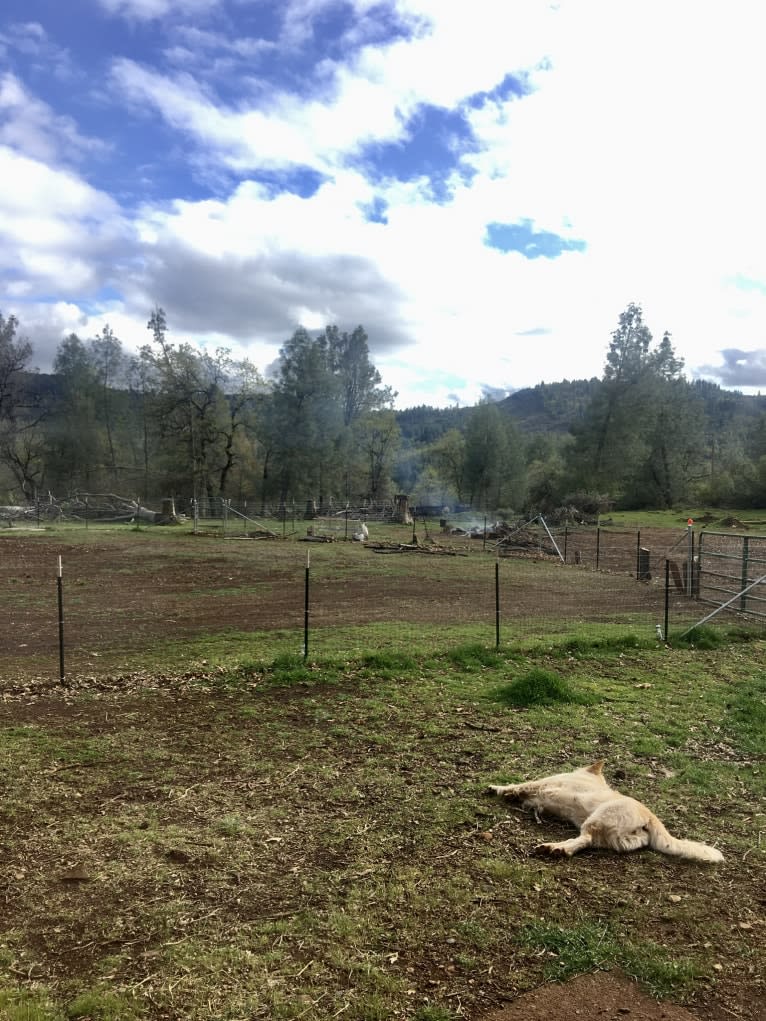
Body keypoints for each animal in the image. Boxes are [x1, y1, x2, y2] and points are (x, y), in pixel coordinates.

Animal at [488, 759, 723, 861]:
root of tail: (650, 817)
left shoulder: (543, 784)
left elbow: (520, 784)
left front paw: (498, 789)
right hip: (617, 837)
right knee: (585, 843)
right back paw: (559, 849)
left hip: (596, 820)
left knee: (584, 839)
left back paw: (555, 847)